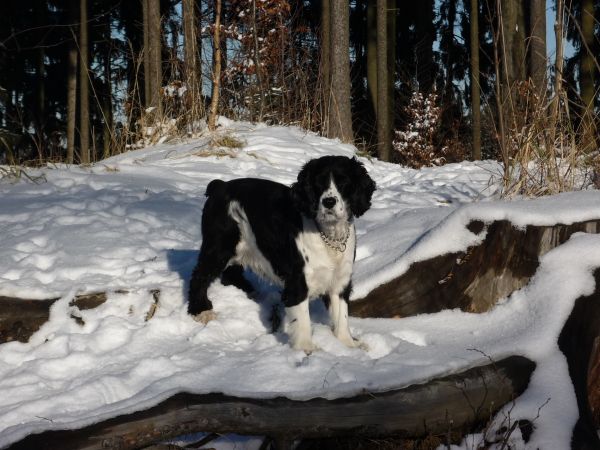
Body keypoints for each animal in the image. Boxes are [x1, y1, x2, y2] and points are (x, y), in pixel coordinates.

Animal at [189, 156, 376, 354]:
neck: (328, 235)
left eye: (344, 182)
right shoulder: (297, 281)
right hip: (219, 247)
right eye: (318, 183)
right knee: (199, 276)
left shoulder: (341, 279)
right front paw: (307, 348)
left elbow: (342, 316)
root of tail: (219, 185)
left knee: (231, 273)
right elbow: (303, 319)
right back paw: (201, 311)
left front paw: (349, 345)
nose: (329, 202)